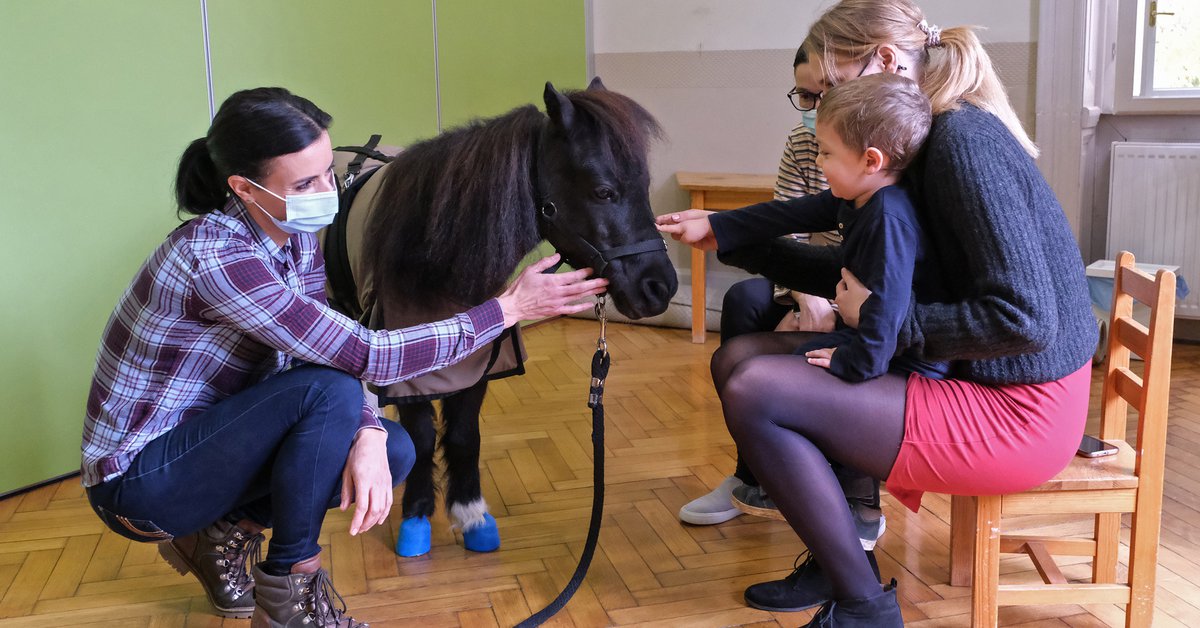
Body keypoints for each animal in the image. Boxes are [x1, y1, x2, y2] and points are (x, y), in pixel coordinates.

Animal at [324, 77, 676, 554]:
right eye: (603, 191)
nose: (660, 287)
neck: (436, 263)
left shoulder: (479, 362)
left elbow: (463, 435)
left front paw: (471, 513)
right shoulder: (407, 369)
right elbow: (421, 437)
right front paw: (416, 516)